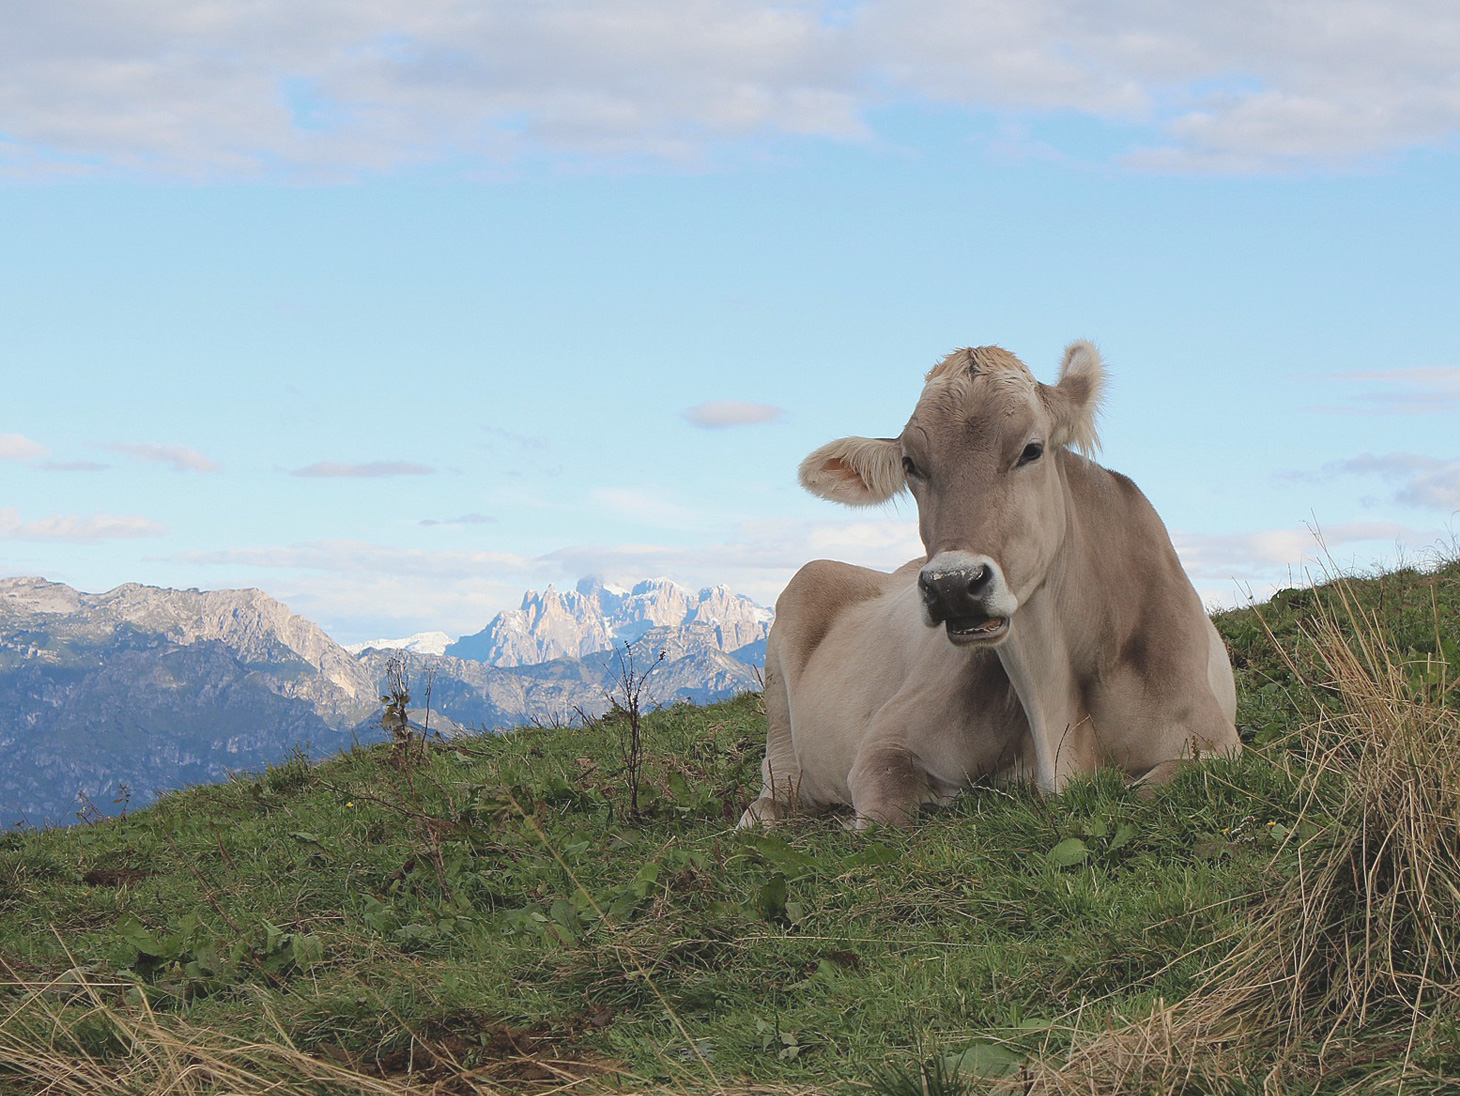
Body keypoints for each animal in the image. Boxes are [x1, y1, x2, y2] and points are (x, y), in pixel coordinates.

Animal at [747, 342, 1238, 828]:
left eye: (1031, 449)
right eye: (911, 464)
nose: (951, 585)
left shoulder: (1216, 745)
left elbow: (1152, 791)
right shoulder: (885, 741)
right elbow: (885, 813)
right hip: (782, 680)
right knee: (777, 782)